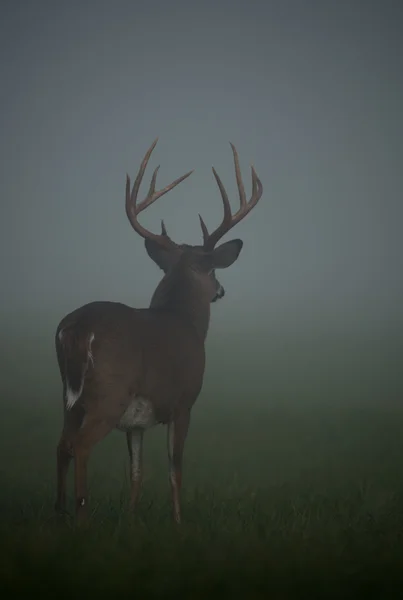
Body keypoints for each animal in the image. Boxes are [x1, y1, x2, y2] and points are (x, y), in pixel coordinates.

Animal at [55, 138, 264, 524]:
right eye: (212, 270)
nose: (221, 290)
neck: (185, 321)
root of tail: (77, 328)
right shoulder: (183, 402)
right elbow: (175, 469)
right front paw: (179, 524)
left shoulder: (137, 421)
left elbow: (137, 471)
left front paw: (131, 520)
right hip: (107, 395)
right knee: (80, 446)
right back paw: (81, 517)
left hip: (68, 396)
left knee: (62, 444)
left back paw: (59, 514)